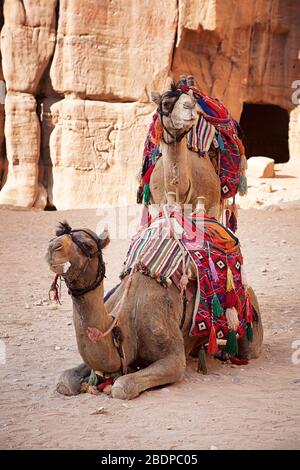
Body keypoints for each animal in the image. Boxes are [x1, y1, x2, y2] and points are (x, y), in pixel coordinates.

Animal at [46, 222, 262, 398]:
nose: (52, 246)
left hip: (248, 310)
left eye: (89, 245)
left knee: (248, 349)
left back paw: (226, 353)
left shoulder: (173, 358)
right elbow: (64, 381)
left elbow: (122, 387)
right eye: (57, 236)